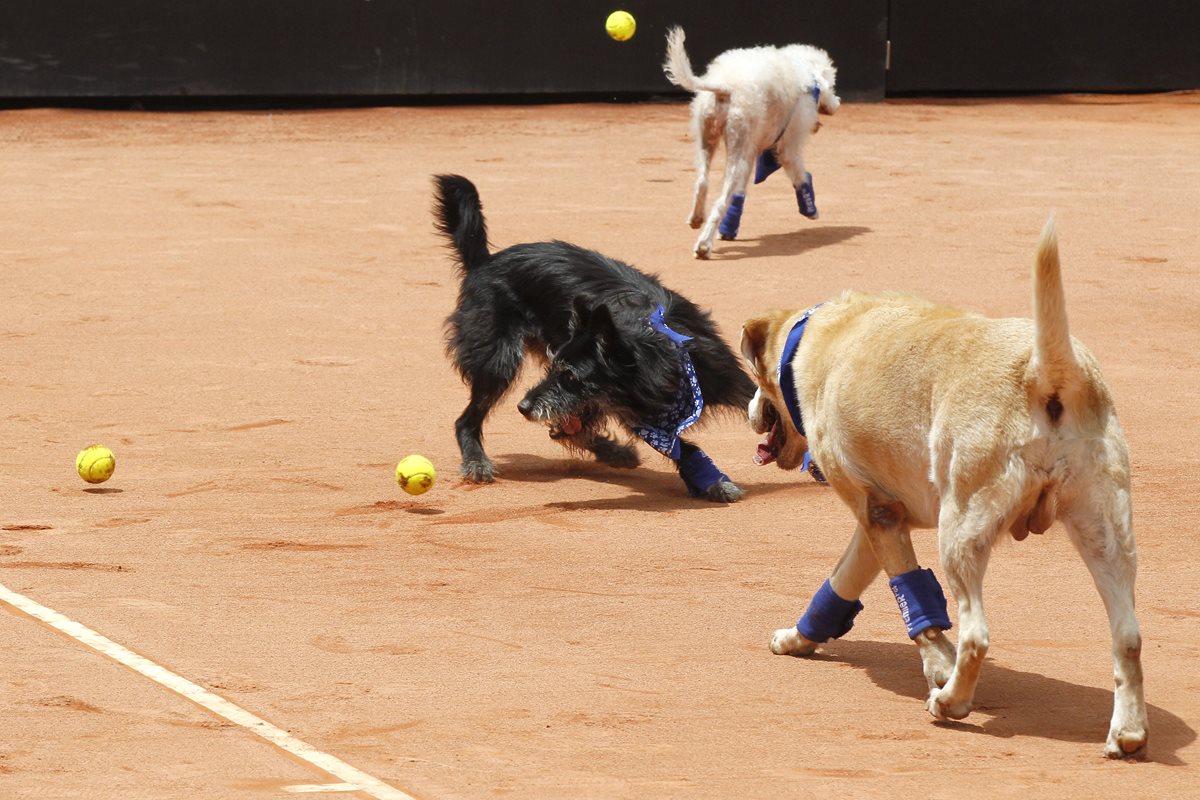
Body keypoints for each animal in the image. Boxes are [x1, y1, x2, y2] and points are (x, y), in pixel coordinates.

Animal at [432, 173, 753, 501]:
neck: (661, 353)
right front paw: (715, 483)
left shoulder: (727, 378)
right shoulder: (641, 416)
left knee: (567, 429)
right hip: (498, 362)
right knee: (469, 421)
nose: (523, 407)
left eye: (571, 376)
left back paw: (613, 452)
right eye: (555, 368)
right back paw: (477, 461)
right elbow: (683, 450)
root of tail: (484, 262)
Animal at [662, 26, 840, 257]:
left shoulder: (751, 151)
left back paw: (696, 218)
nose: (837, 104)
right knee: (720, 201)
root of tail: (726, 86)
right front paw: (810, 208)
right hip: (736, 153)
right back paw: (704, 244)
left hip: (708, 140)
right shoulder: (787, 148)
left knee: (702, 182)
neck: (805, 72)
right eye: (832, 85)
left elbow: (739, 194)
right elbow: (801, 176)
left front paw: (729, 229)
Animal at [739, 217, 1142, 758]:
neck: (815, 336)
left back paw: (952, 702)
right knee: (1128, 636)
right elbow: (843, 583)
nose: (750, 409)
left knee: (977, 635)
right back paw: (1129, 732)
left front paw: (938, 668)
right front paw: (800, 639)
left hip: (962, 531)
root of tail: (1046, 372)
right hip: (1105, 534)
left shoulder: (878, 513)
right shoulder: (879, 516)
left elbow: (919, 608)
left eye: (756, 378)